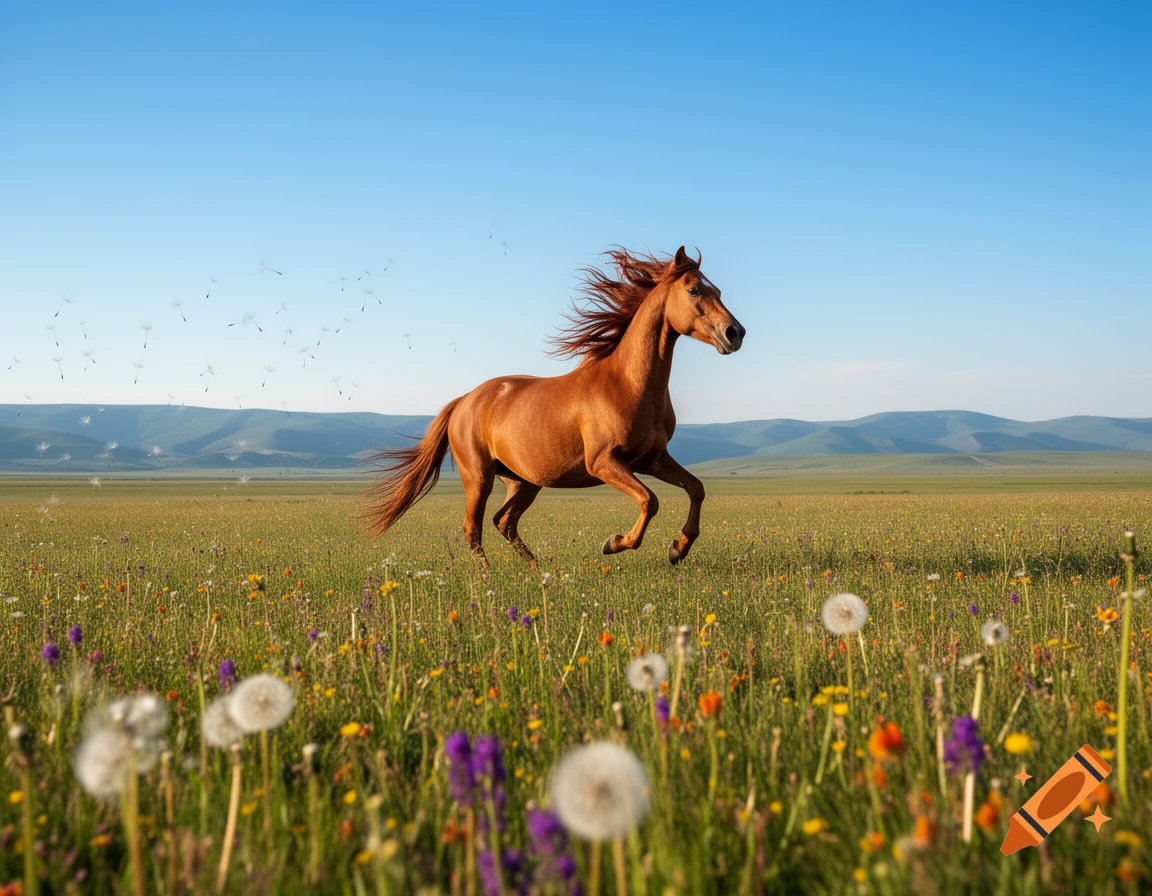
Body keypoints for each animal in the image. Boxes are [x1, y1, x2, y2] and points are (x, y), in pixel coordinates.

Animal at [367, 246, 745, 566]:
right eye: (694, 291)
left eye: (719, 292)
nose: (735, 333)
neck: (627, 384)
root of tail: (465, 400)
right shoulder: (603, 462)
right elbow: (649, 501)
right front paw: (614, 543)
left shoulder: (652, 459)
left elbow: (696, 489)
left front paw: (678, 548)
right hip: (478, 477)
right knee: (473, 527)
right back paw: (487, 579)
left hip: (523, 481)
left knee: (503, 521)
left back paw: (534, 568)